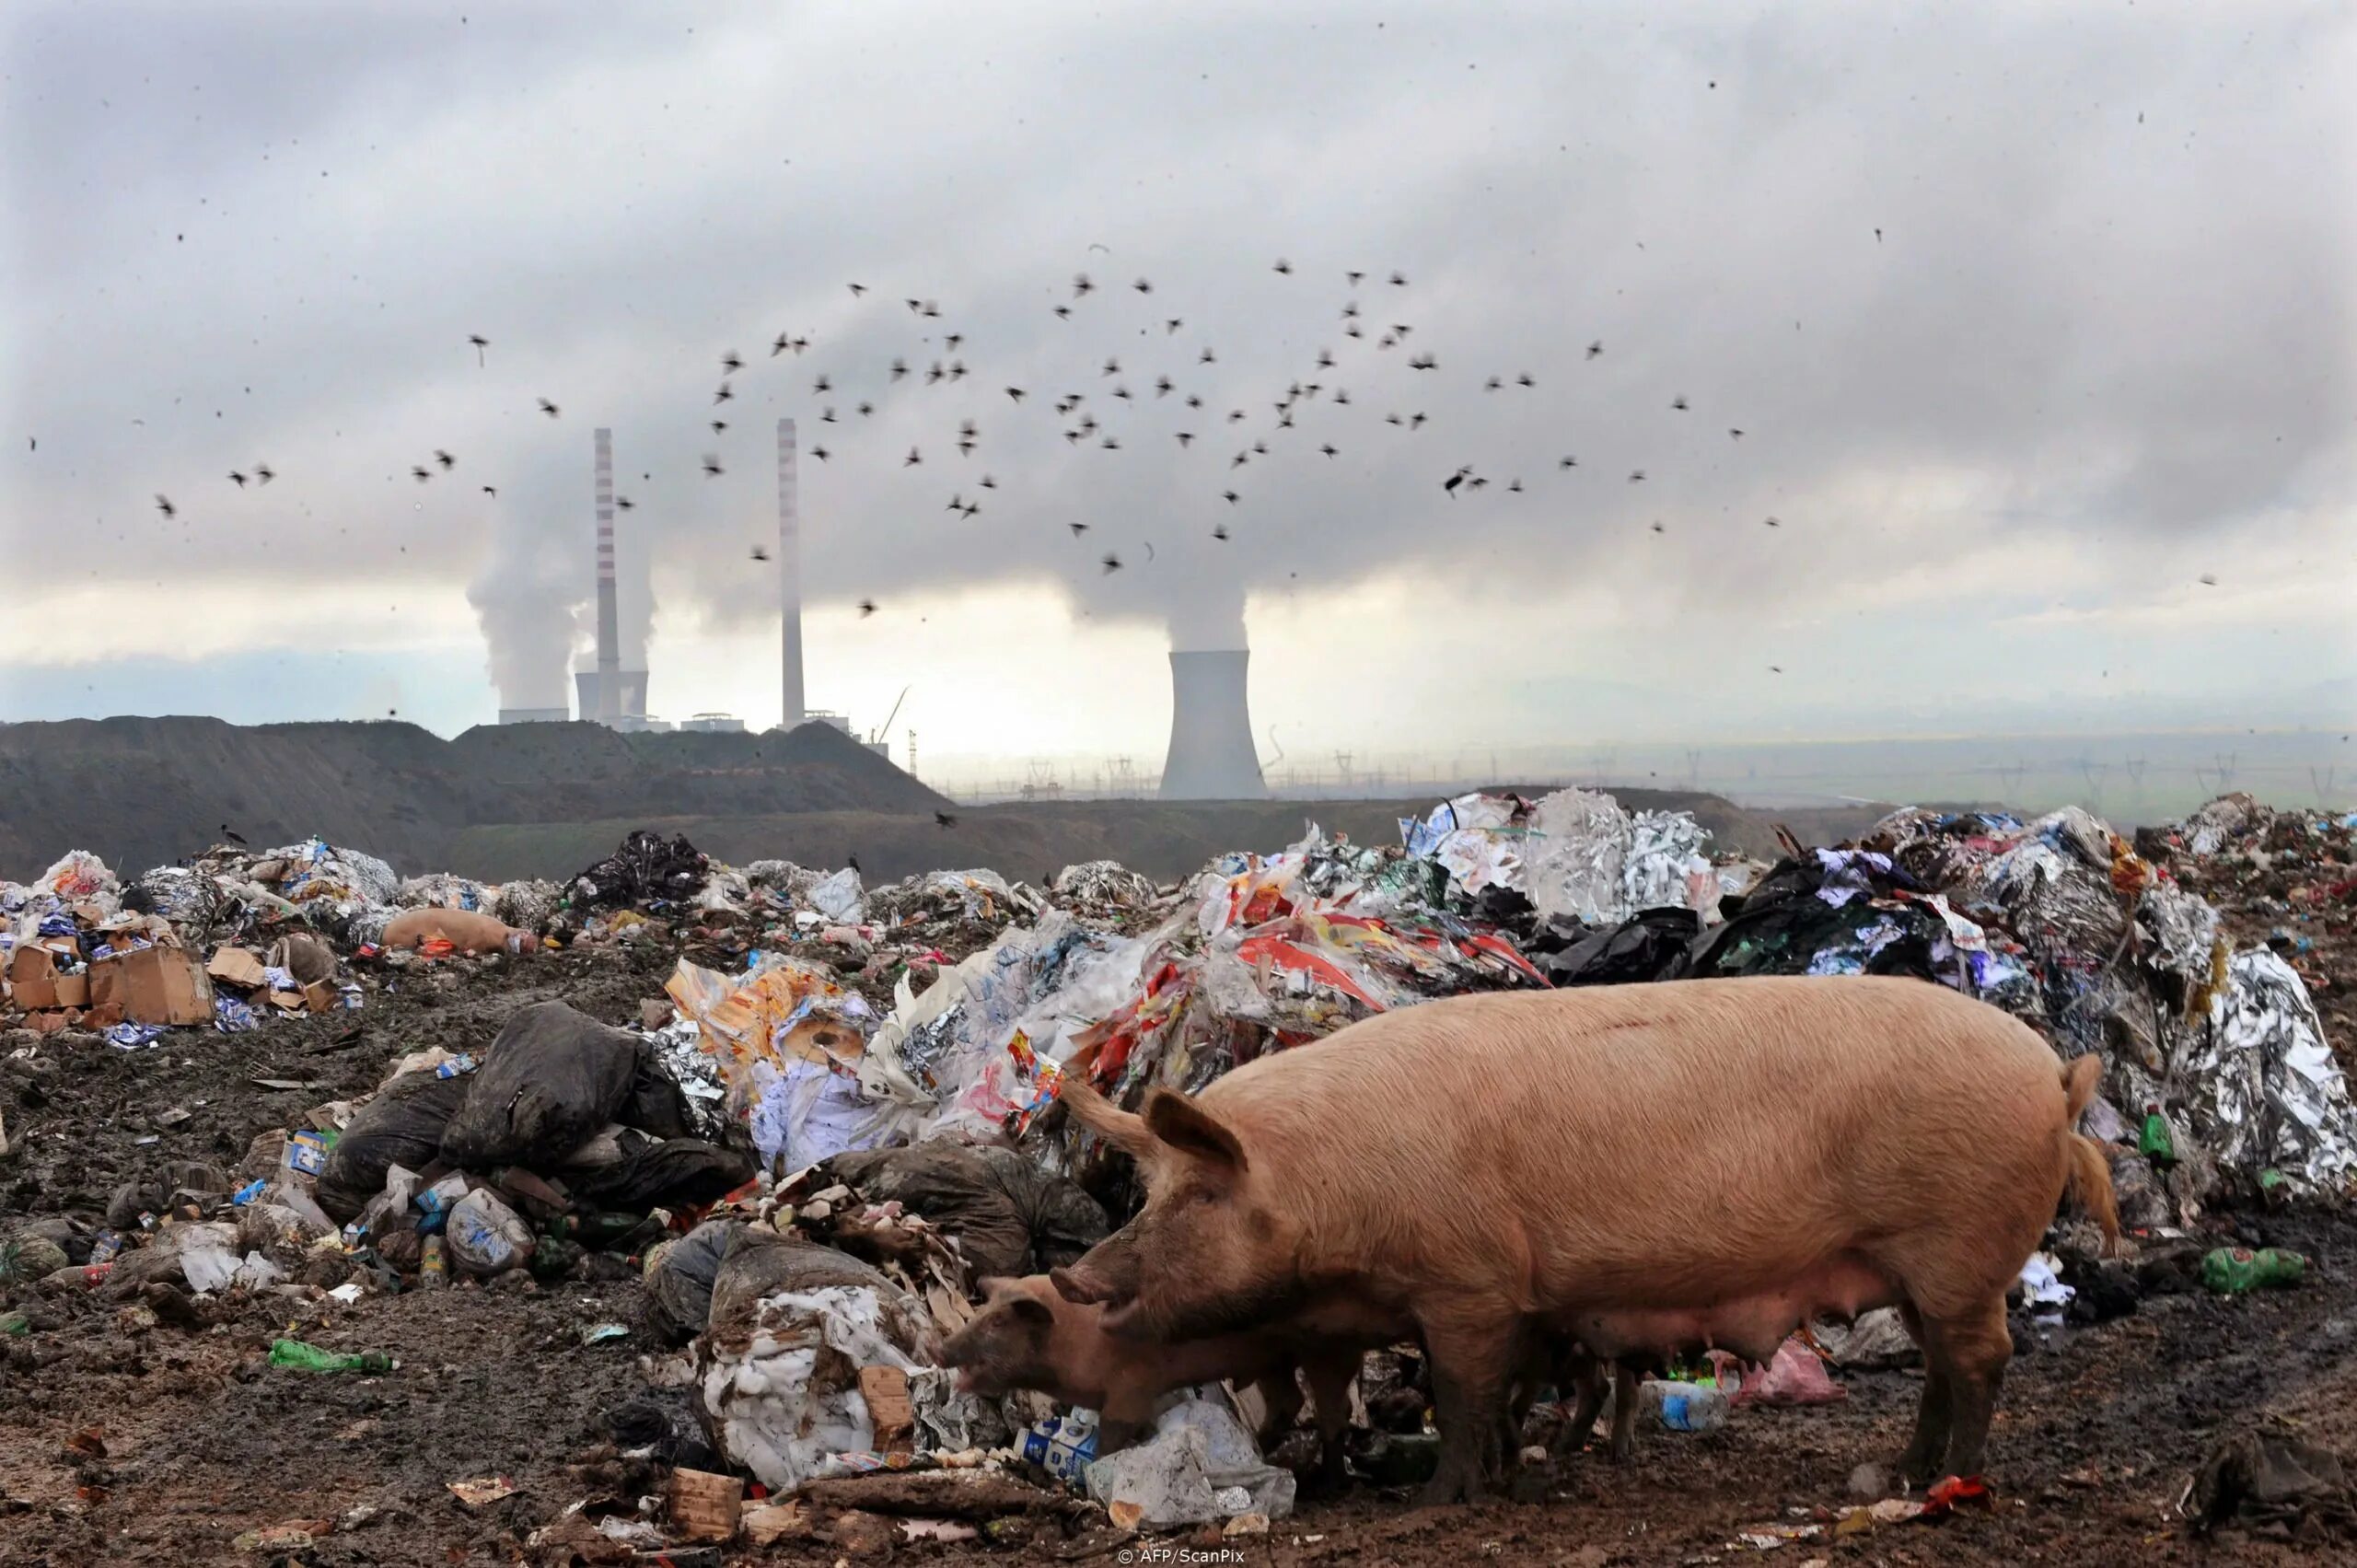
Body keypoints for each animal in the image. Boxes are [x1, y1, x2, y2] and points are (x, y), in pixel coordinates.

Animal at [933, 1272, 1366, 1481]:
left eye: (1000, 1322)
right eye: (983, 1308)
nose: (939, 1349)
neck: (1074, 1340)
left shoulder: (1131, 1386)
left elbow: (1113, 1433)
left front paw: (1092, 1475)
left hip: (1328, 1349)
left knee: (1335, 1409)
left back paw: (1331, 1481)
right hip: (1271, 1360)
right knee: (1288, 1400)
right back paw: (1259, 1448)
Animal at [1061, 971, 2131, 1499]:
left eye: (1202, 1193)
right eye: (1150, 1188)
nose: (1078, 1276)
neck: (1335, 1189)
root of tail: (2054, 1077)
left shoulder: (1471, 1279)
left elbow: (1461, 1392)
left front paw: (1438, 1498)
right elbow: (1483, 1394)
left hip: (1957, 1242)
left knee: (1980, 1358)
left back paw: (1952, 1478)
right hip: (1919, 1265)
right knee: (1944, 1362)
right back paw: (1906, 1472)